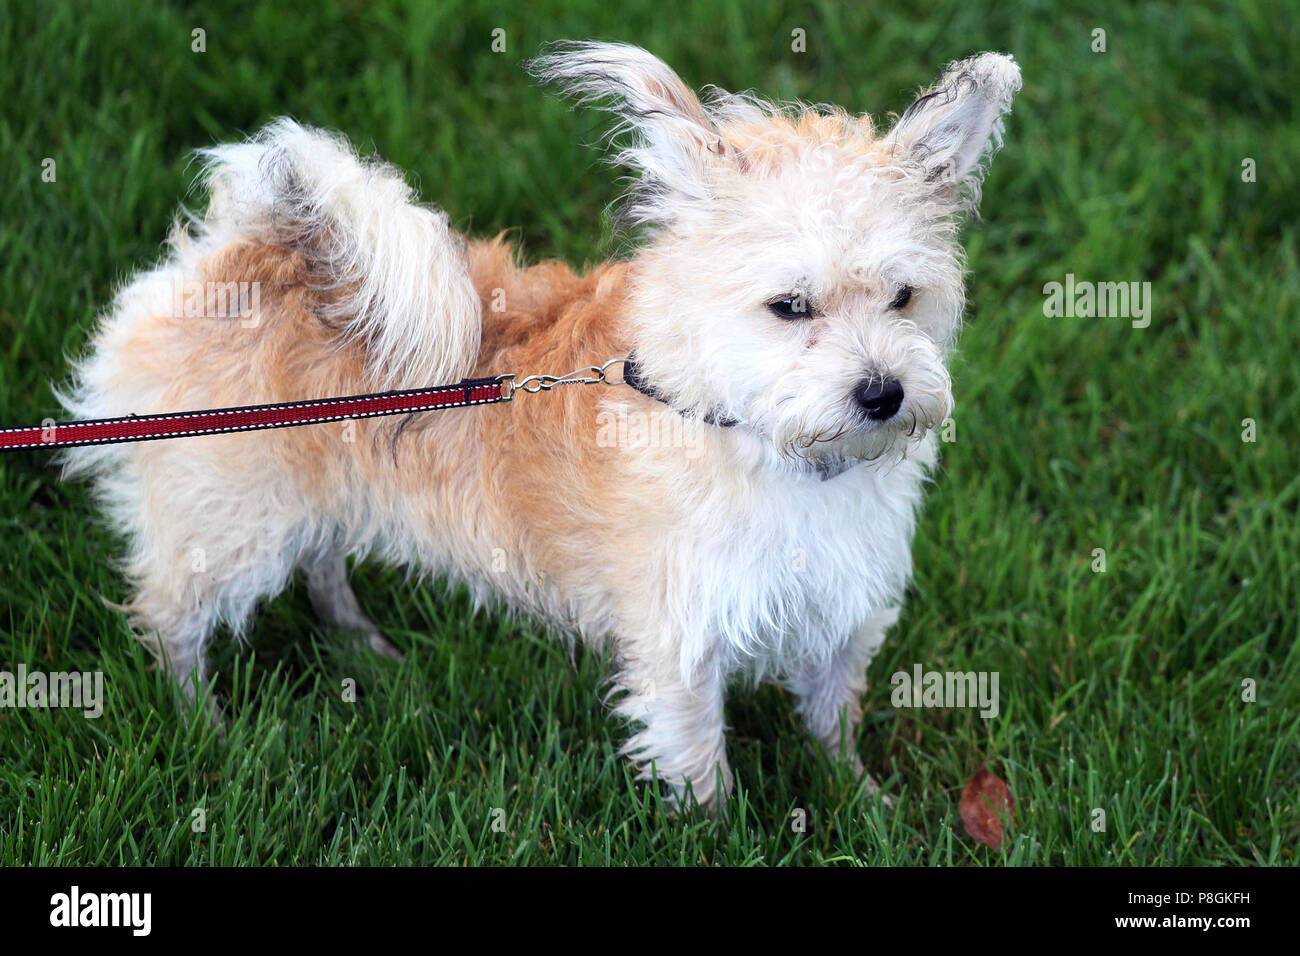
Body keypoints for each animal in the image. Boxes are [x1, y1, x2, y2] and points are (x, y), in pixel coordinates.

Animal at [61, 41, 1019, 811]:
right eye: (790, 307)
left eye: (904, 297)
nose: (883, 393)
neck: (759, 441)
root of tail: (249, 246)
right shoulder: (679, 647)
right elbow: (702, 766)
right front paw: (725, 835)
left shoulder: (840, 616)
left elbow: (831, 724)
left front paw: (867, 806)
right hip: (227, 527)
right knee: (170, 619)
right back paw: (205, 726)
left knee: (323, 562)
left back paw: (364, 648)